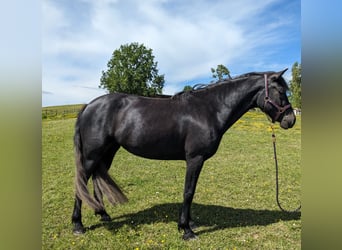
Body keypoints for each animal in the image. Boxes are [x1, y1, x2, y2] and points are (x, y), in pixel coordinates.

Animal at [71, 69, 296, 240]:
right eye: (280, 91)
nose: (290, 120)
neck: (209, 109)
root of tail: (89, 106)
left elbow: (191, 191)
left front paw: (189, 223)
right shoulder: (195, 159)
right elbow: (188, 192)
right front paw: (186, 230)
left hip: (107, 152)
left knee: (96, 180)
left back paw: (102, 214)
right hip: (92, 155)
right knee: (81, 182)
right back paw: (78, 225)